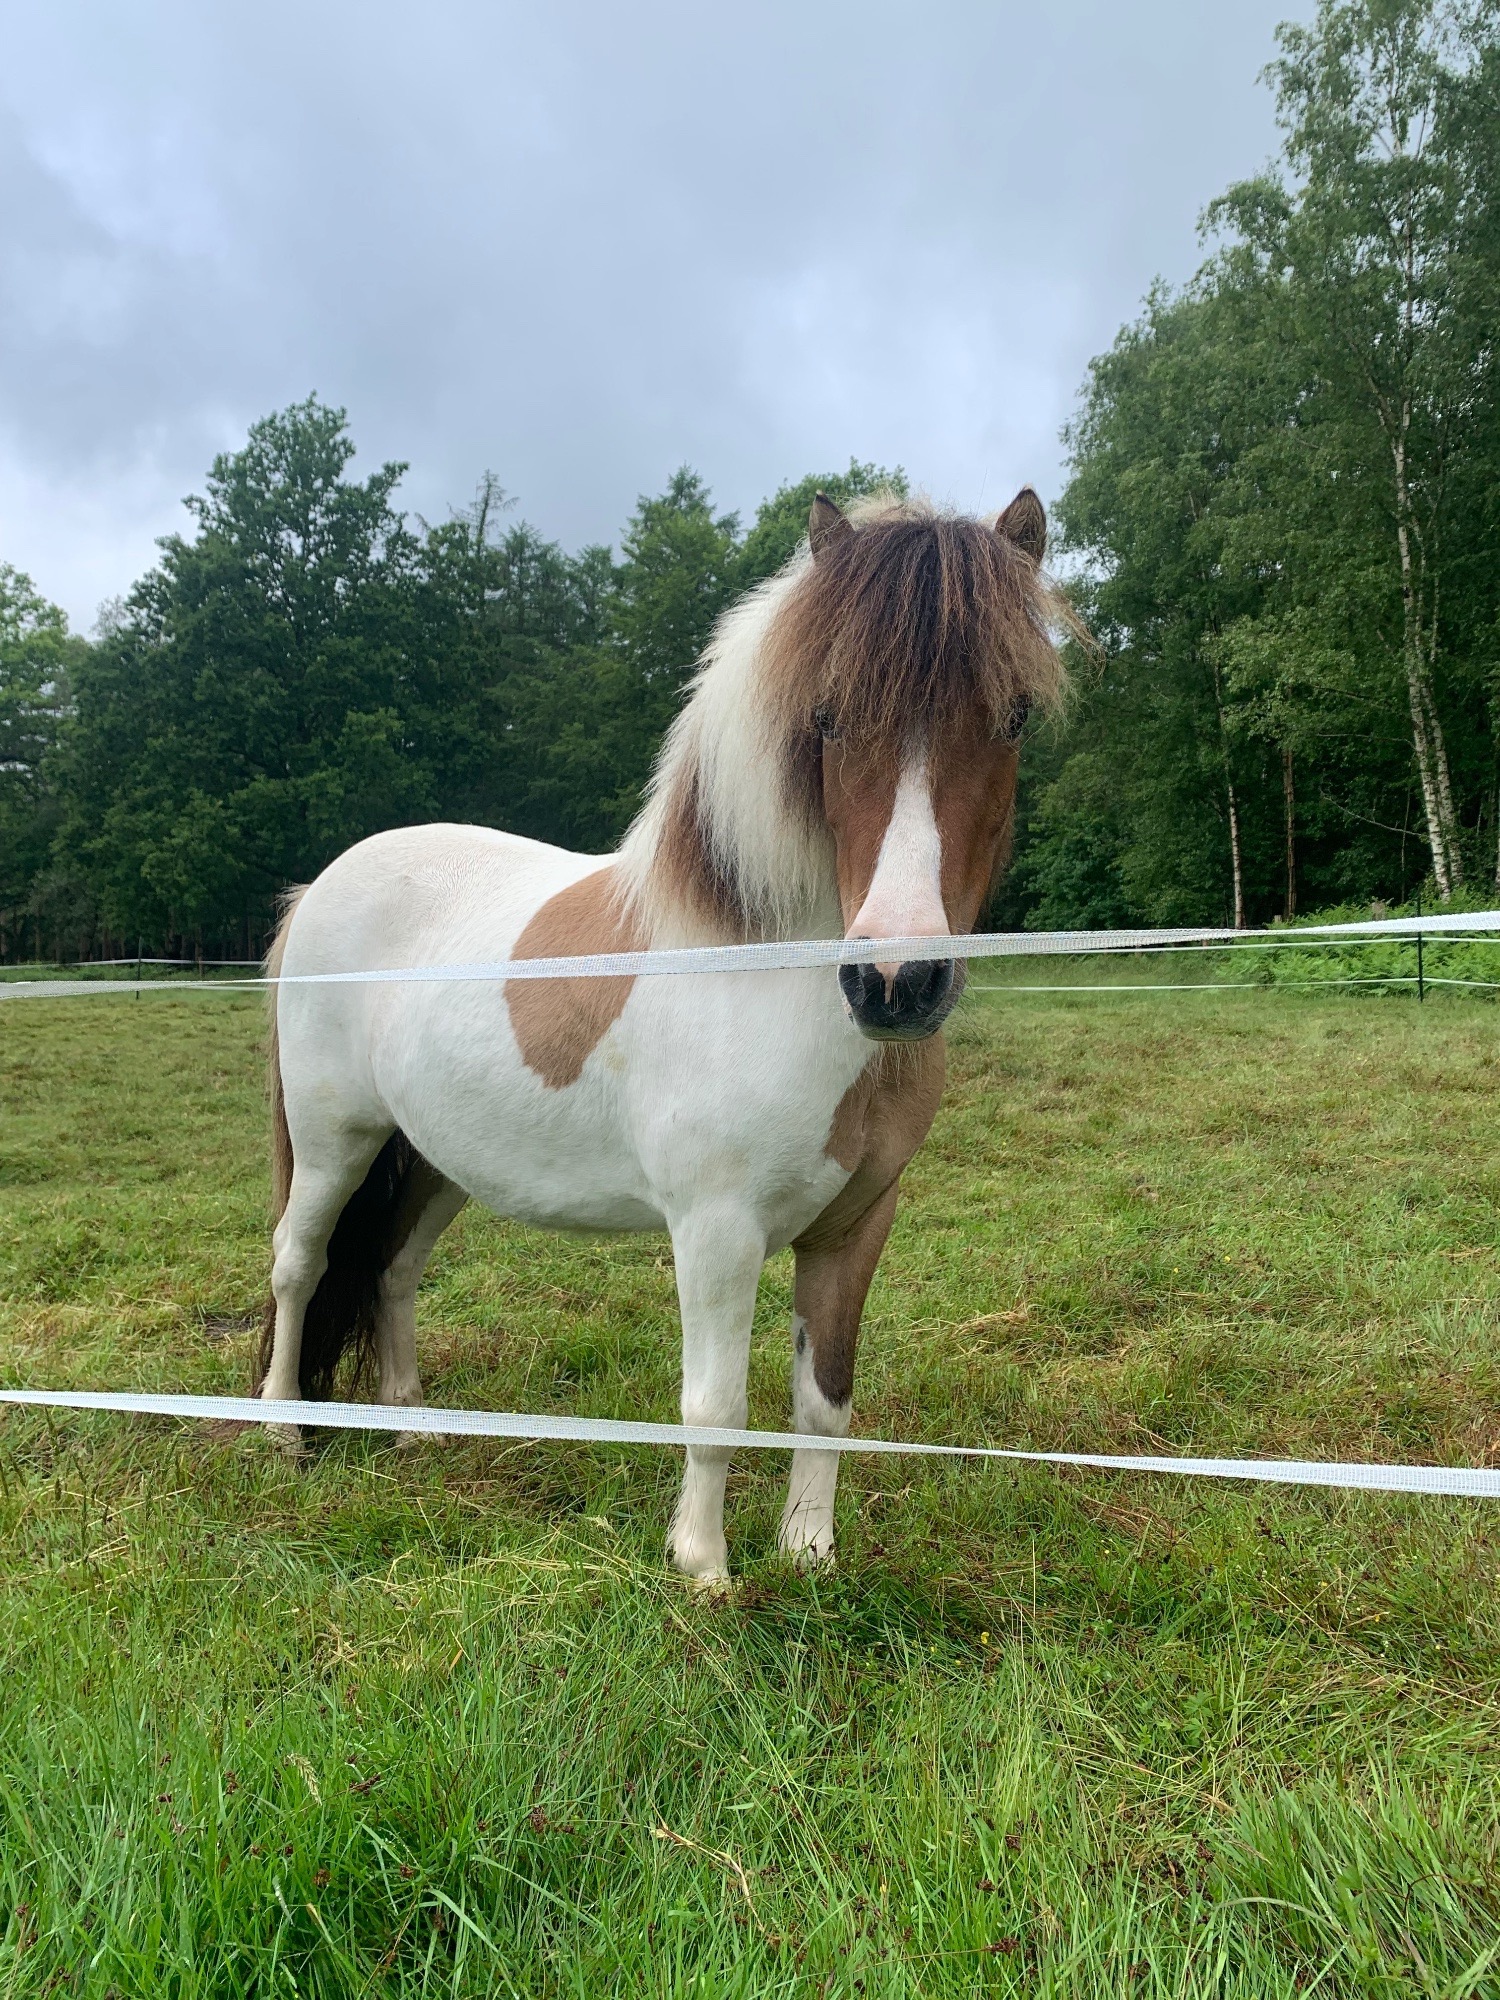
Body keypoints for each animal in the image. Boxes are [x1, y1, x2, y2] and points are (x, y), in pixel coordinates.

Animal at [256, 487, 1067, 1582]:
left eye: (1014, 717)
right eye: (827, 718)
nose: (897, 983)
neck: (772, 973)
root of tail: (321, 884)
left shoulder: (856, 1225)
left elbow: (825, 1398)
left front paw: (810, 1552)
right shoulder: (717, 1231)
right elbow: (715, 1406)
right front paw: (705, 1567)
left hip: (433, 1162)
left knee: (391, 1269)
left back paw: (413, 1431)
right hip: (334, 1141)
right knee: (297, 1264)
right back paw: (282, 1435)